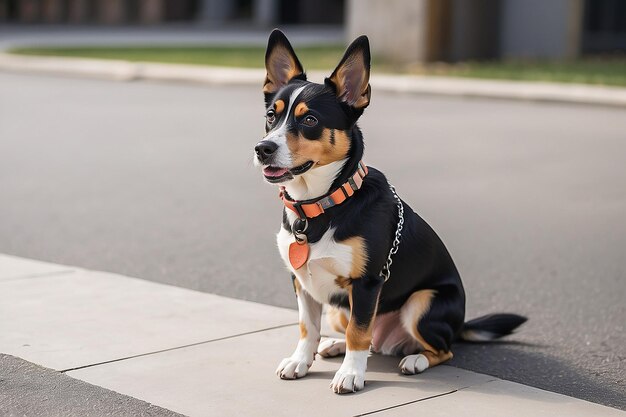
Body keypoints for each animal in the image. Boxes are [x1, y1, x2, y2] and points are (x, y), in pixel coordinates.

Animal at [251, 29, 524, 394]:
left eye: (310, 120)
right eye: (272, 115)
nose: (262, 149)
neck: (322, 204)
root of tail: (461, 323)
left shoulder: (367, 284)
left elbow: (358, 331)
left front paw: (351, 375)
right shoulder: (302, 282)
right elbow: (309, 328)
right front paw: (301, 361)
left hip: (421, 302)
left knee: (439, 349)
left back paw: (415, 359)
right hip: (341, 306)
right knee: (366, 338)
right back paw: (336, 346)